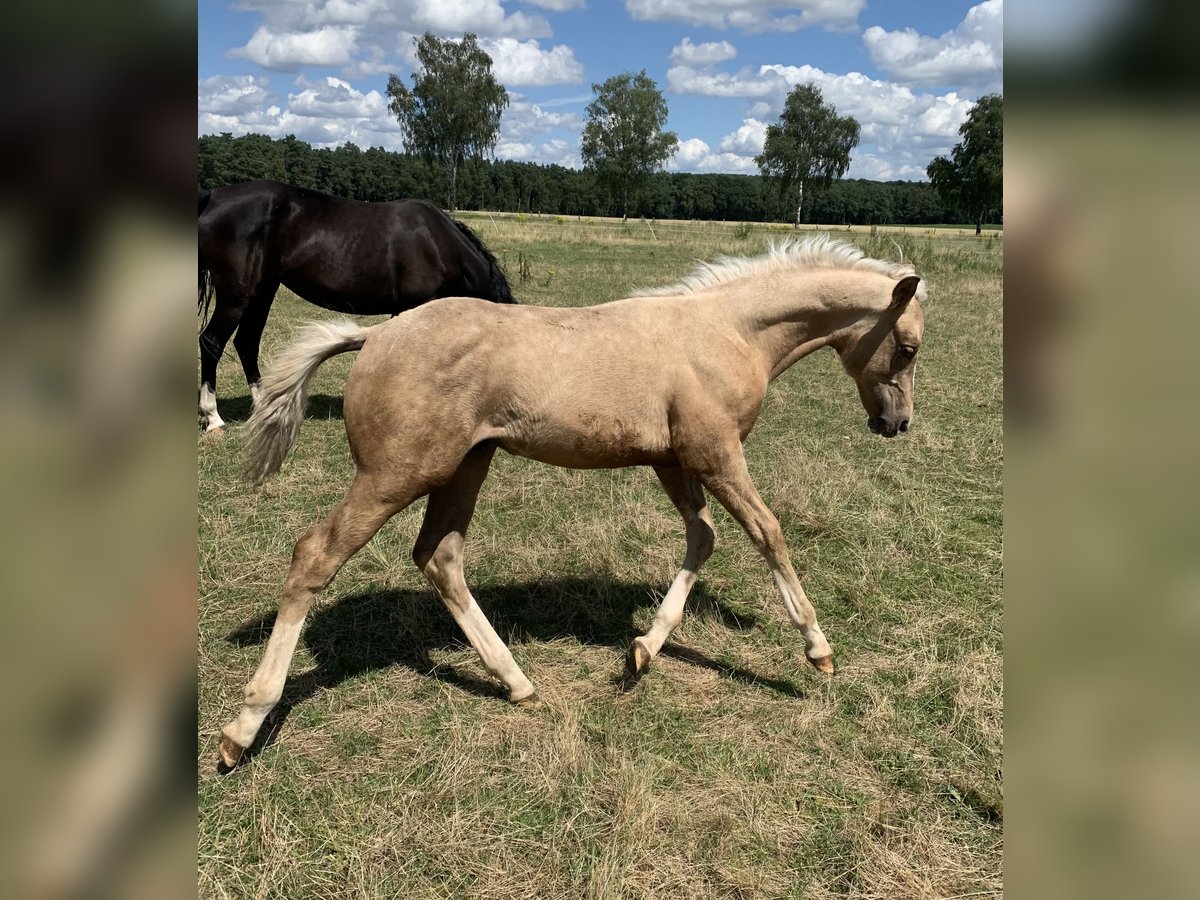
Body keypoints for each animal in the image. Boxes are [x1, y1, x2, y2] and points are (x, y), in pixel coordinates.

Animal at [198, 180, 516, 434]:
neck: (440, 245)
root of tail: (213, 197)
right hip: (236, 295)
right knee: (211, 342)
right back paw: (214, 419)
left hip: (263, 291)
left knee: (246, 342)